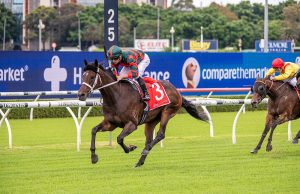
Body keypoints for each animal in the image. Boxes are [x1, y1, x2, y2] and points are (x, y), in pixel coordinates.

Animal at [77, 59, 209, 167]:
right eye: (83, 76)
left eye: (92, 77)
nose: (80, 94)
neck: (117, 97)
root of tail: (177, 91)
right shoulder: (110, 123)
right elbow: (94, 130)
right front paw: (94, 157)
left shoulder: (132, 124)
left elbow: (119, 138)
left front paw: (130, 148)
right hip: (151, 121)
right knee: (149, 139)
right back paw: (140, 162)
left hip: (167, 112)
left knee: (160, 134)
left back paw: (146, 150)